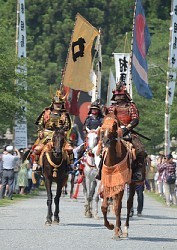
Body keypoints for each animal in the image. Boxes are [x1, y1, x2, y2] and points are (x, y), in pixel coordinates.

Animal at [99, 110, 137, 239]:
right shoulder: (108, 182)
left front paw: (116, 231)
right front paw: (110, 225)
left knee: (129, 203)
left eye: (115, 124)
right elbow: (104, 206)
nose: (105, 140)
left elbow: (118, 207)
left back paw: (124, 229)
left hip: (133, 182)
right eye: (102, 121)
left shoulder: (121, 183)